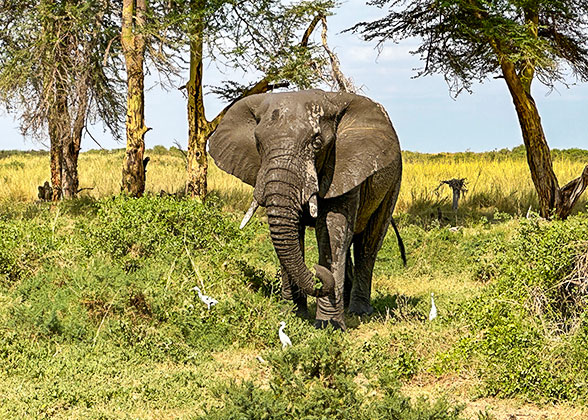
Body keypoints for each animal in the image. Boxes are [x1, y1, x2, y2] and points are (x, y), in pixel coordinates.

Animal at [209, 89, 406, 332]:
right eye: (257, 142)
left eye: (317, 143)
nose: (318, 275)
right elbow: (293, 233)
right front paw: (291, 315)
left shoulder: (343, 165)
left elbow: (331, 229)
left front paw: (329, 326)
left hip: (394, 180)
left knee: (368, 243)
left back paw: (358, 311)